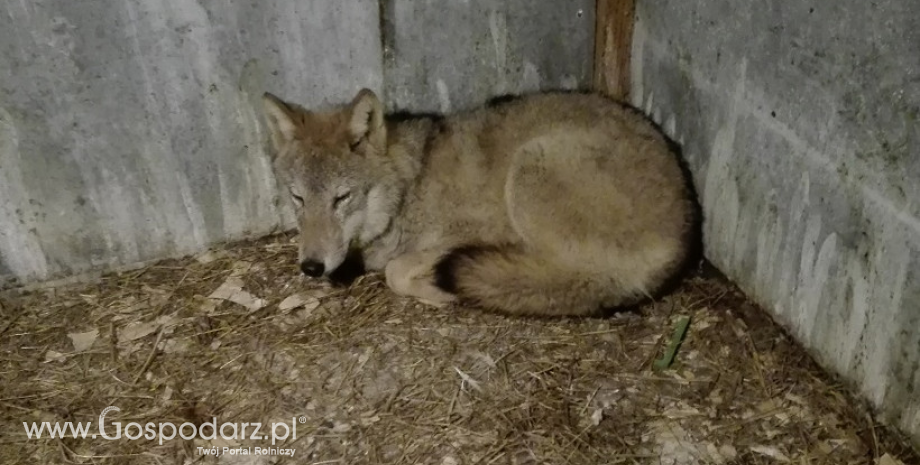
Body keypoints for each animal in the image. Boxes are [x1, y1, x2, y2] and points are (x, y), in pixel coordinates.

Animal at [258, 88, 696, 316]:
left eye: (341, 198)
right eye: (298, 198)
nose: (311, 267)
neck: (410, 187)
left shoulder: (474, 230)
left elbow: (396, 272)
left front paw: (437, 290)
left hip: (529, 167)